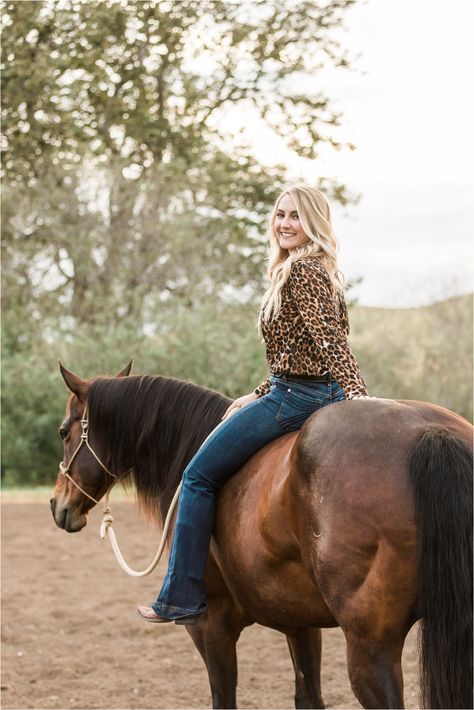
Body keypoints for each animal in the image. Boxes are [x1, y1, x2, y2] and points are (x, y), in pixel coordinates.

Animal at [50, 364, 472, 708]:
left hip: (370, 648)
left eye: (63, 432)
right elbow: (308, 697)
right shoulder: (301, 626)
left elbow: (224, 699)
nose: (57, 503)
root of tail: (428, 432)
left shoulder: (210, 626)